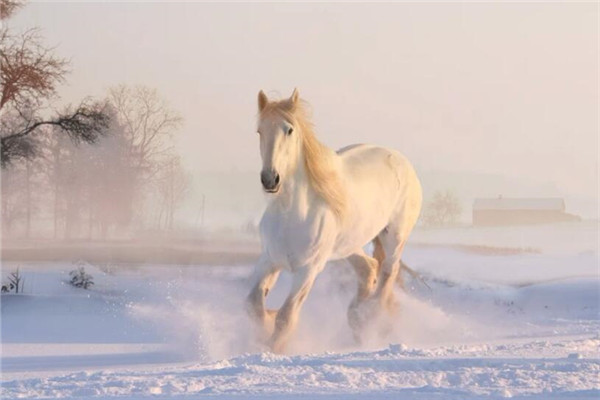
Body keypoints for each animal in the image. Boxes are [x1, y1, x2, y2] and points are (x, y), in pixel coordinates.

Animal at [244, 89, 422, 352]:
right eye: (260, 130)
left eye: (289, 130)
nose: (270, 179)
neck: (291, 214)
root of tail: (402, 160)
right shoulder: (269, 260)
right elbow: (254, 305)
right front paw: (265, 325)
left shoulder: (308, 270)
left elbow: (286, 317)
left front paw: (273, 348)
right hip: (348, 245)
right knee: (369, 268)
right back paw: (357, 318)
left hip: (394, 237)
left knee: (388, 272)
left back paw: (370, 318)